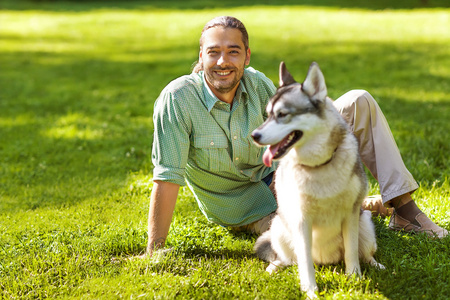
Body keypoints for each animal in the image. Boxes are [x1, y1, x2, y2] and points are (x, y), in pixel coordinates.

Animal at [251, 62, 384, 298]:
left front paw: (355, 280)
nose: (254, 136)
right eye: (267, 115)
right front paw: (310, 291)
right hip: (279, 227)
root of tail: (326, 261)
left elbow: (352, 254)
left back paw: (376, 265)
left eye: (282, 114)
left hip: (365, 225)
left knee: (365, 254)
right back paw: (273, 267)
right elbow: (304, 263)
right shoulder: (301, 220)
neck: (318, 166)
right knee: (288, 259)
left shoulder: (350, 215)